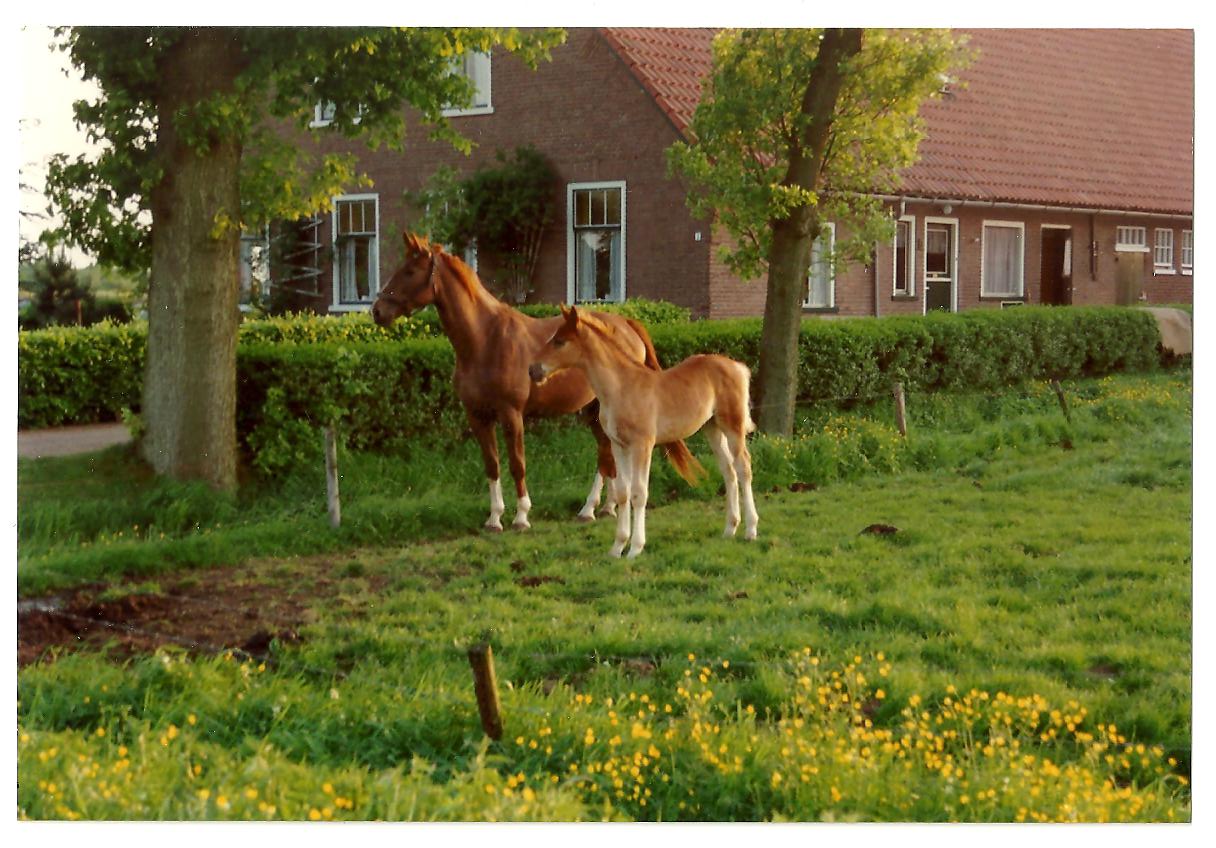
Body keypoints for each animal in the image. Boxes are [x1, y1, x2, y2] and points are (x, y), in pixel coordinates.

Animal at [372, 232, 702, 532]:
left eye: (409, 271)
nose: (377, 311)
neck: (485, 340)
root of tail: (627, 325)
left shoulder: (511, 414)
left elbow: (517, 464)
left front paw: (520, 517)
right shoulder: (477, 417)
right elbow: (492, 465)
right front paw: (494, 519)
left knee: (607, 454)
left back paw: (595, 508)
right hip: (592, 411)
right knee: (606, 453)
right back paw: (599, 508)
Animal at [529, 305, 758, 558]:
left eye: (559, 341)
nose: (533, 370)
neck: (621, 387)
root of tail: (739, 367)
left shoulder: (643, 445)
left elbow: (639, 493)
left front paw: (635, 548)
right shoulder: (619, 445)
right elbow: (623, 493)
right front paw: (617, 547)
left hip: (733, 426)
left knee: (743, 467)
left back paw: (750, 530)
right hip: (713, 428)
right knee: (729, 471)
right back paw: (730, 529)